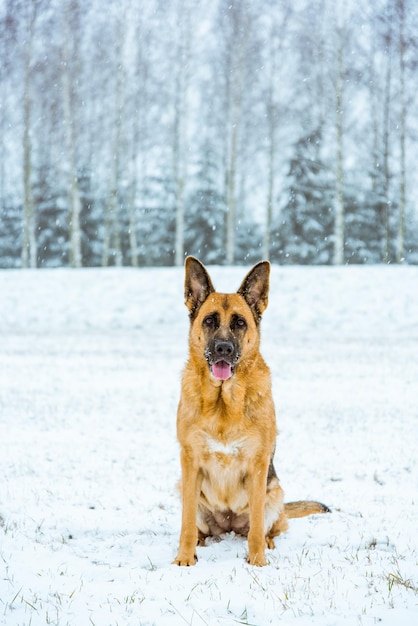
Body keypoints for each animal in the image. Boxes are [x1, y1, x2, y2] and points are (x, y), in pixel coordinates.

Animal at [173, 256, 330, 564]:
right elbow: (185, 524)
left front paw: (257, 562)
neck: (223, 403)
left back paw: (267, 542)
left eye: (239, 323)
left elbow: (256, 526)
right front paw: (184, 559)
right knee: (198, 526)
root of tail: (228, 525)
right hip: (183, 486)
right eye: (209, 321)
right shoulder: (190, 462)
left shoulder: (258, 467)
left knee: (268, 527)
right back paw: (200, 542)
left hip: (275, 492)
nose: (223, 348)